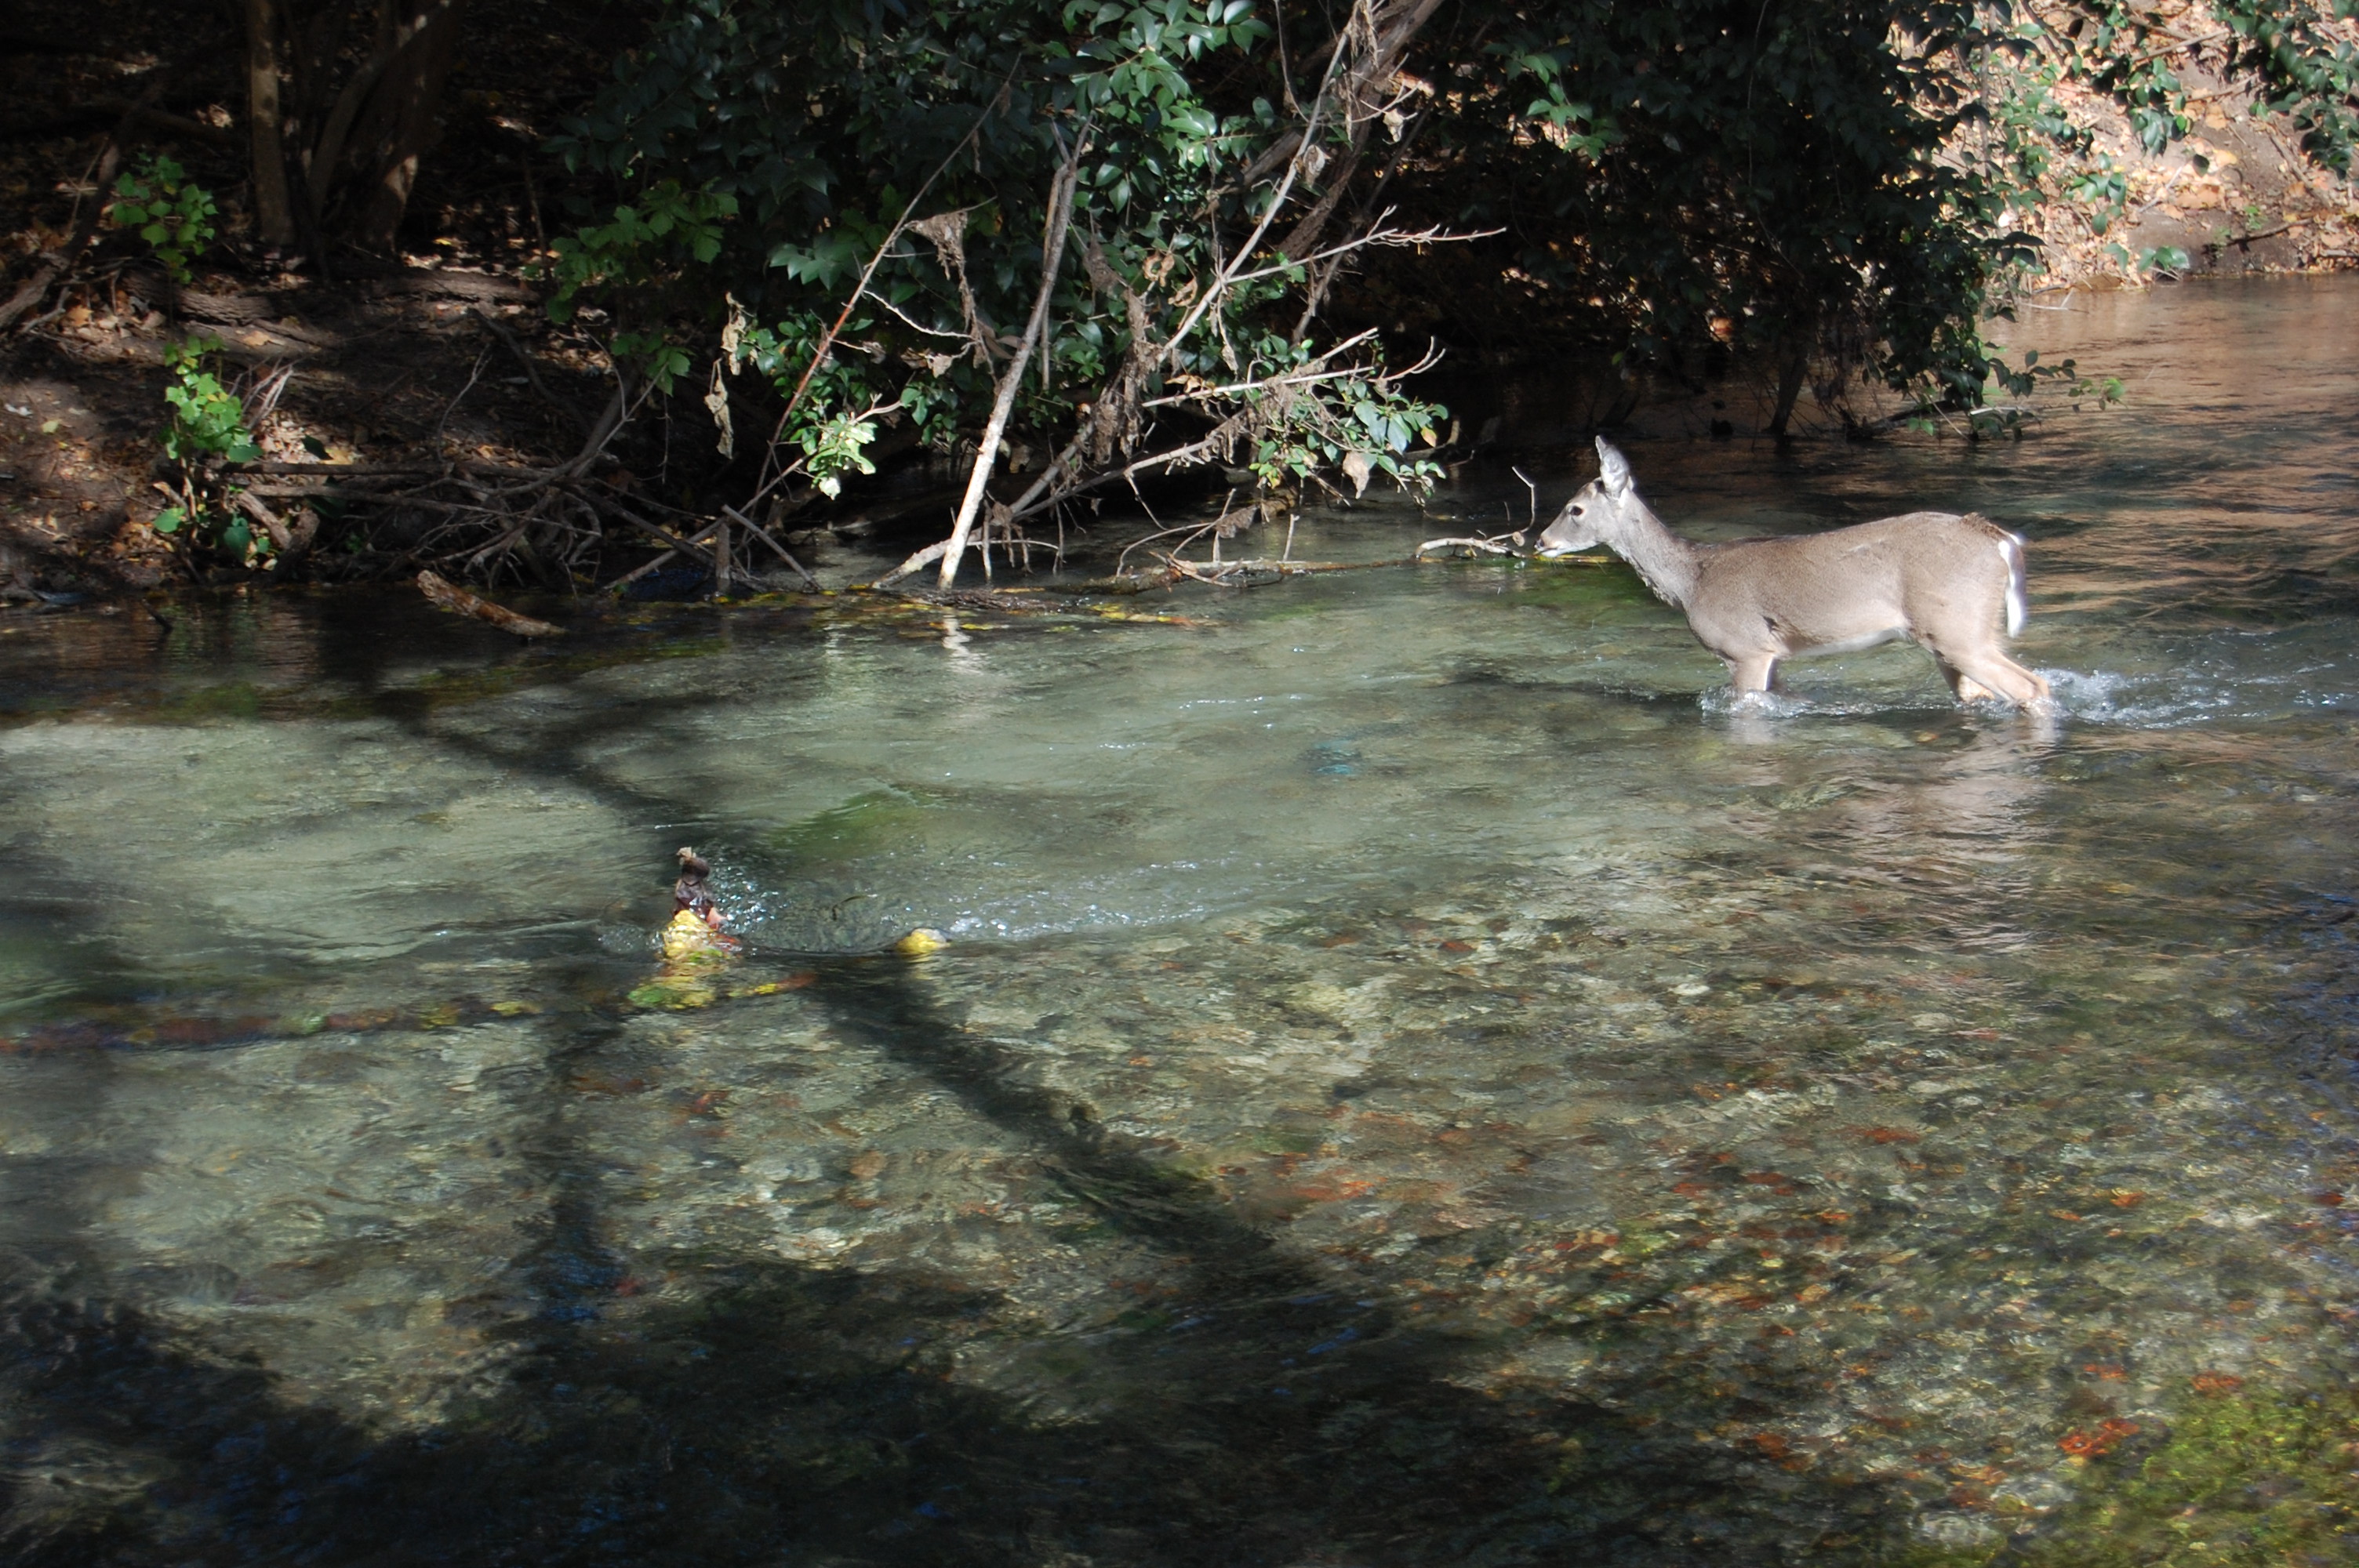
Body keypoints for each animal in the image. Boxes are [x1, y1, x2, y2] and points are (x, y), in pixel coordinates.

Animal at [1528, 441, 2047, 707]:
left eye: (1574, 509)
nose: (1540, 541)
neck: (1690, 581)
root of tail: (1997, 539)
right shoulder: (1773, 655)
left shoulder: (1744, 648)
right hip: (1951, 636)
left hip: (1958, 628)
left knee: (2031, 686)